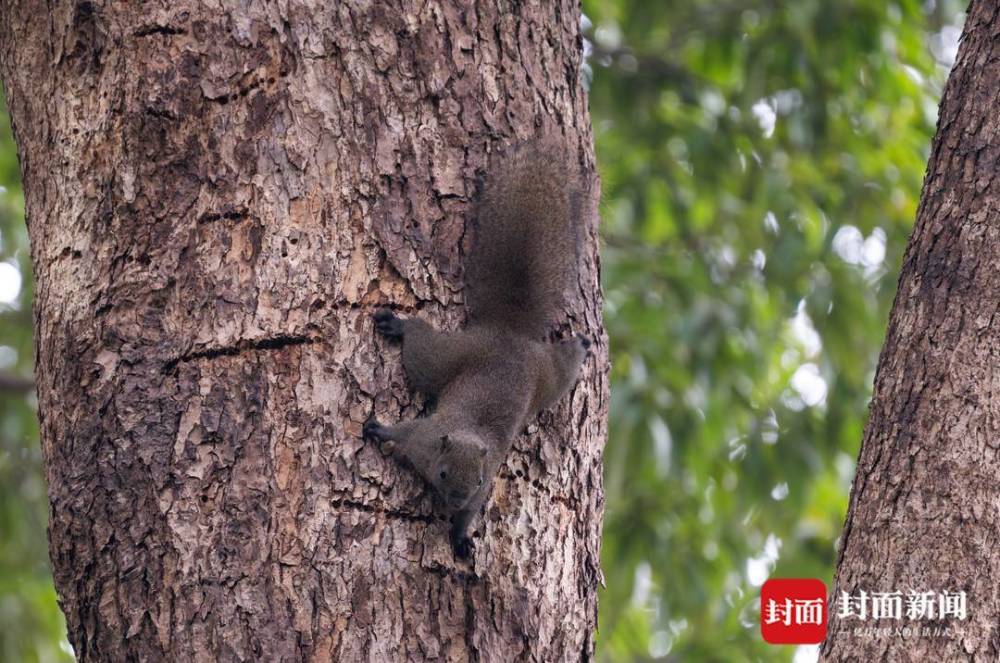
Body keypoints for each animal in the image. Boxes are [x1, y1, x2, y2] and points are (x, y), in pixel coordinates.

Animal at [364, 141, 588, 560]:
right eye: (443, 472)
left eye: (480, 478)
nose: (454, 499)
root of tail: (508, 333)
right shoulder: (423, 437)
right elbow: (402, 432)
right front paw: (379, 429)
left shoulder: (482, 486)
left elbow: (473, 512)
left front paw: (461, 536)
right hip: (453, 354)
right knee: (422, 350)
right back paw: (399, 326)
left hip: (545, 377)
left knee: (563, 368)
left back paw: (581, 346)